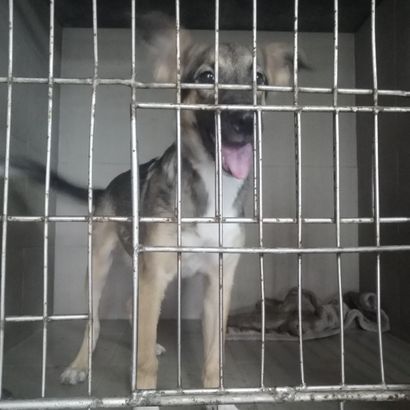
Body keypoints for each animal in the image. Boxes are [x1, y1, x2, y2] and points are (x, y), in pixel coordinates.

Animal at [5, 12, 305, 409]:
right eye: (206, 76)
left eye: (259, 79)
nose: (246, 121)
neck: (212, 189)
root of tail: (106, 188)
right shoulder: (154, 275)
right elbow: (145, 359)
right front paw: (145, 392)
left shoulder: (217, 283)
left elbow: (214, 356)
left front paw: (218, 396)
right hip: (99, 266)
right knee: (96, 321)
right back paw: (80, 365)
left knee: (132, 308)